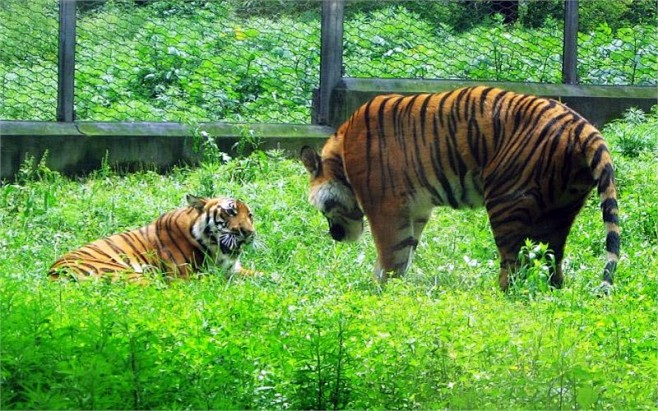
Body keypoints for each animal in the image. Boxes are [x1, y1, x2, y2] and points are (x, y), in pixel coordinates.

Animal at [49, 196, 256, 284]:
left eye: (250, 215)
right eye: (231, 211)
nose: (249, 232)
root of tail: (53, 274)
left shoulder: (234, 269)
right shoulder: (184, 278)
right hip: (129, 274)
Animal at [300, 86, 616, 292]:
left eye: (323, 209)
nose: (334, 235)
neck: (340, 156)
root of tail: (582, 126)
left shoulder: (384, 205)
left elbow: (391, 253)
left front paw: (379, 293)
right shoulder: (415, 210)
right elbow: (404, 252)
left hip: (506, 200)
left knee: (513, 264)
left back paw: (501, 297)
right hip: (559, 210)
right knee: (551, 260)